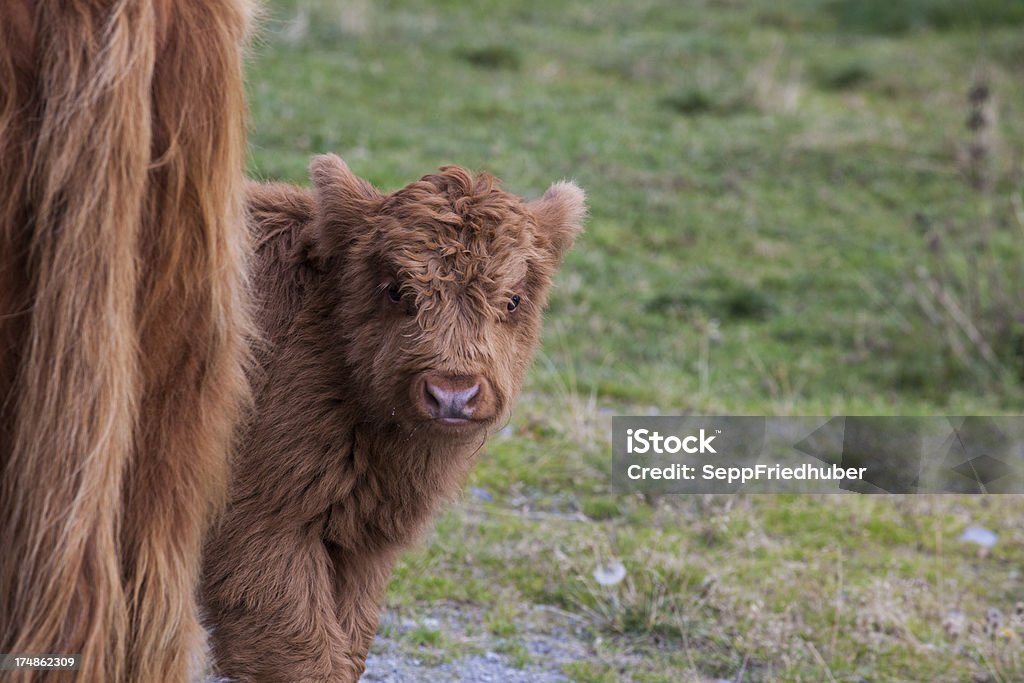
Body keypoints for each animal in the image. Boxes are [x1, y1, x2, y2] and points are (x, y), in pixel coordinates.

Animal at [201, 156, 585, 683]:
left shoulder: (363, 545)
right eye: (397, 290)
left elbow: (348, 644)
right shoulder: (258, 528)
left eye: (512, 300)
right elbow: (303, 654)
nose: (452, 393)